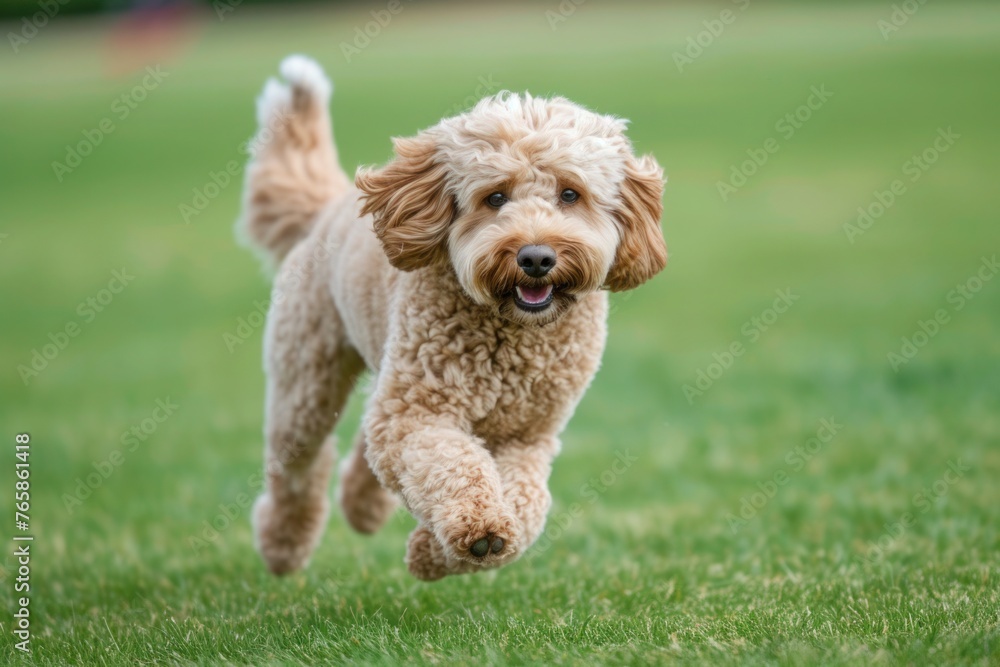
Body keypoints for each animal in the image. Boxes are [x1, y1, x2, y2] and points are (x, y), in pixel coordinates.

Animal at [238, 54, 668, 580]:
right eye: (495, 197)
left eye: (570, 194)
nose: (536, 257)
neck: (511, 333)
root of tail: (328, 208)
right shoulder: (422, 414)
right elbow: (452, 465)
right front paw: (476, 529)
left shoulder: (528, 436)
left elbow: (526, 503)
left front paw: (437, 553)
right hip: (307, 381)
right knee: (300, 466)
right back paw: (282, 546)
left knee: (367, 440)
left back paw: (363, 507)